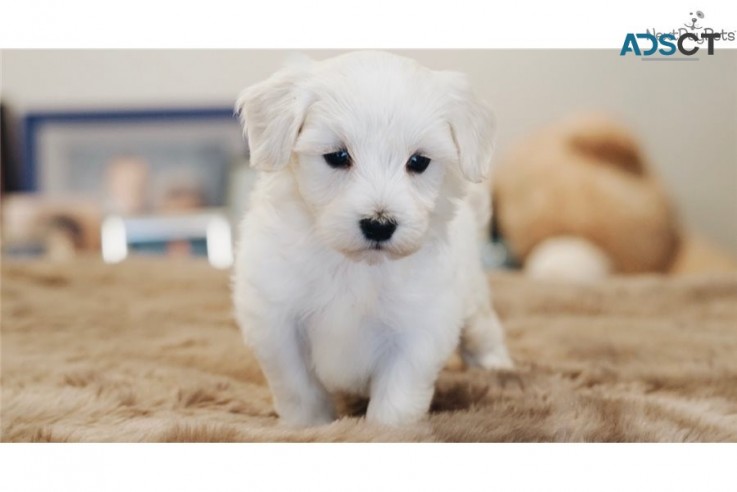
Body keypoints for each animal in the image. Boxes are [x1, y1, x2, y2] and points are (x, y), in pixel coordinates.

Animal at [233, 51, 508, 426]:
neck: (356, 265)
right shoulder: (276, 320)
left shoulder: (420, 328)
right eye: (337, 156)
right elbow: (299, 388)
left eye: (418, 161)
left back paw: (497, 369)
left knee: (484, 331)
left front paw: (384, 430)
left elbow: (397, 398)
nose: (379, 225)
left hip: (473, 297)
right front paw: (310, 427)